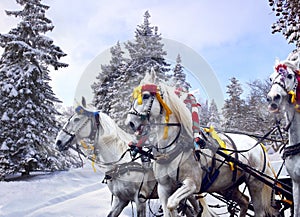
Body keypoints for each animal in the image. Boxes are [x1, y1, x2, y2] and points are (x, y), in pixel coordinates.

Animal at [125, 70, 280, 217]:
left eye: (145, 96)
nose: (130, 123)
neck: (172, 148)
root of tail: (258, 145)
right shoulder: (163, 187)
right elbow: (168, 209)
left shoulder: (192, 184)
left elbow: (172, 204)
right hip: (227, 187)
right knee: (244, 201)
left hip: (255, 183)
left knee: (259, 211)